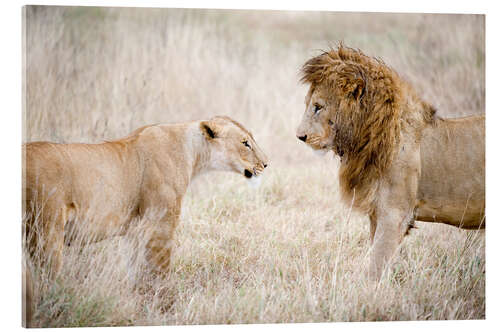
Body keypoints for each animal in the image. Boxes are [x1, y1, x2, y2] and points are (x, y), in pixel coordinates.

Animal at [22, 116, 270, 278]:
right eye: (245, 143)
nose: (266, 164)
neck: (193, 154)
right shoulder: (160, 225)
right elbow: (159, 273)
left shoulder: (135, 231)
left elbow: (136, 273)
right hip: (46, 233)